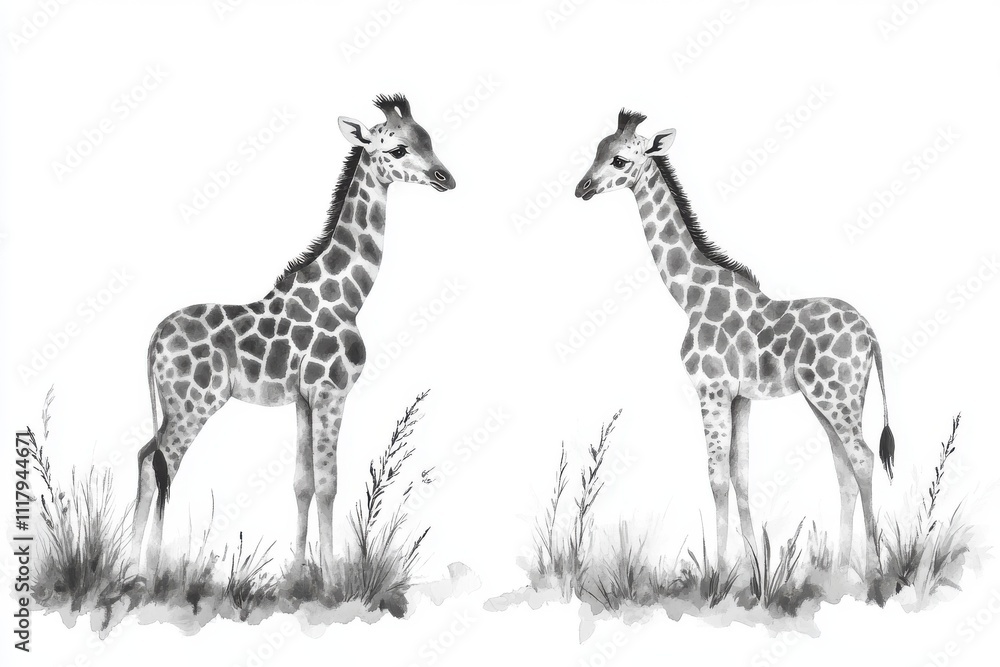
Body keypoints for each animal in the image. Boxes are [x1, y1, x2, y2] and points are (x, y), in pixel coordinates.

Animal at [131, 94, 456, 584]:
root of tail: (154, 337)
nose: (445, 178)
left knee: (143, 457)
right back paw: (146, 573)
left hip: (173, 407)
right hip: (193, 406)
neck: (350, 298)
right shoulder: (330, 392)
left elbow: (302, 484)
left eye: (429, 139)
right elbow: (328, 484)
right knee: (161, 463)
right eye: (398, 148)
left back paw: (126, 564)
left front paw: (299, 576)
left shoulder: (303, 399)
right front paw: (333, 581)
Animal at [574, 110, 895, 580]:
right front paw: (752, 571)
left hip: (835, 394)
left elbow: (717, 478)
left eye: (619, 159)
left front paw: (719, 572)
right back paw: (837, 572)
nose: (581, 188)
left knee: (863, 457)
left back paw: (873, 570)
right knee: (844, 466)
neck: (690, 295)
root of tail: (870, 332)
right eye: (596, 149)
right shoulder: (741, 396)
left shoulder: (710, 388)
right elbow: (740, 476)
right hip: (830, 398)